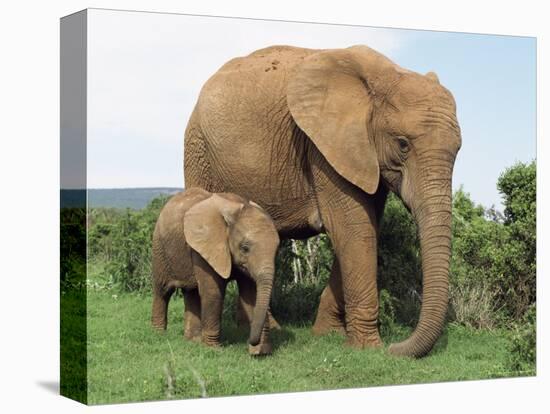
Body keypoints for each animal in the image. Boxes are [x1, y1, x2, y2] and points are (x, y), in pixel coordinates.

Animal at [151, 188, 280, 356]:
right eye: (245, 248)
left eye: (277, 250)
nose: (251, 341)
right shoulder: (203, 246)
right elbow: (213, 292)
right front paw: (214, 349)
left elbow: (251, 294)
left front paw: (260, 352)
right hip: (159, 247)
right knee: (163, 291)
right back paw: (159, 334)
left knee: (191, 292)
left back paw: (193, 340)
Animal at [183, 44, 464, 356]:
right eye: (402, 144)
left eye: (458, 149)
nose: (395, 347)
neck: (384, 74)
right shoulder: (322, 147)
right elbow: (354, 229)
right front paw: (367, 348)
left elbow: (364, 228)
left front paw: (327, 334)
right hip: (197, 149)